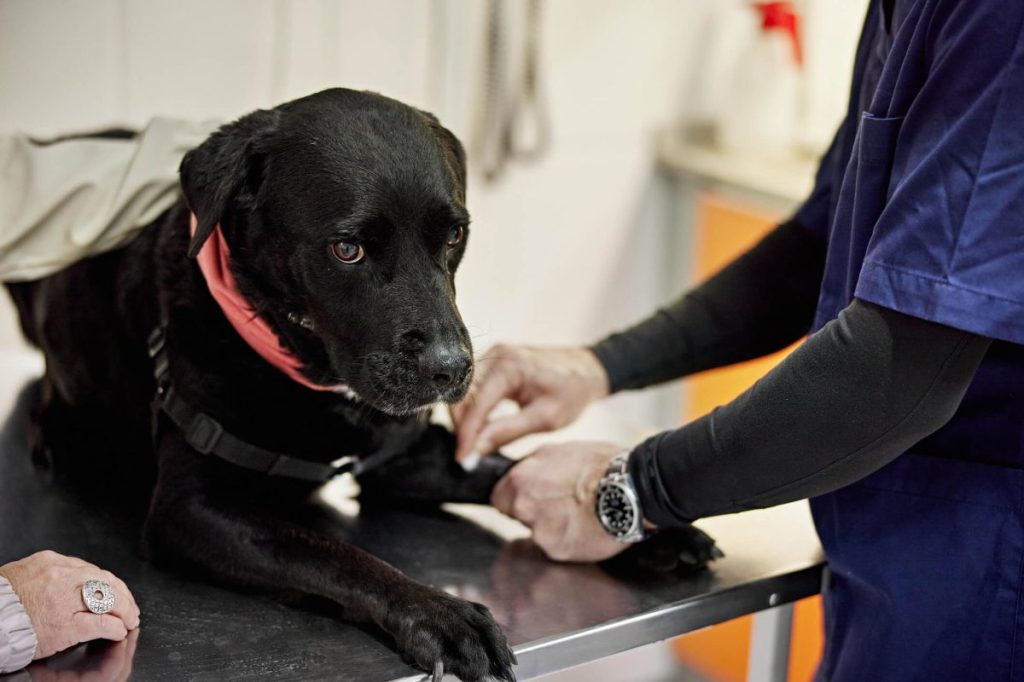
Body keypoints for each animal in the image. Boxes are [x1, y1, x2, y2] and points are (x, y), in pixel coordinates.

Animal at [6, 87, 720, 675]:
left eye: (454, 235)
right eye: (347, 249)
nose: (451, 368)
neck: (307, 371)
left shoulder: (403, 457)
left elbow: (503, 467)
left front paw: (636, 530)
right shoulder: (189, 511)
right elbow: (333, 555)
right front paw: (438, 612)